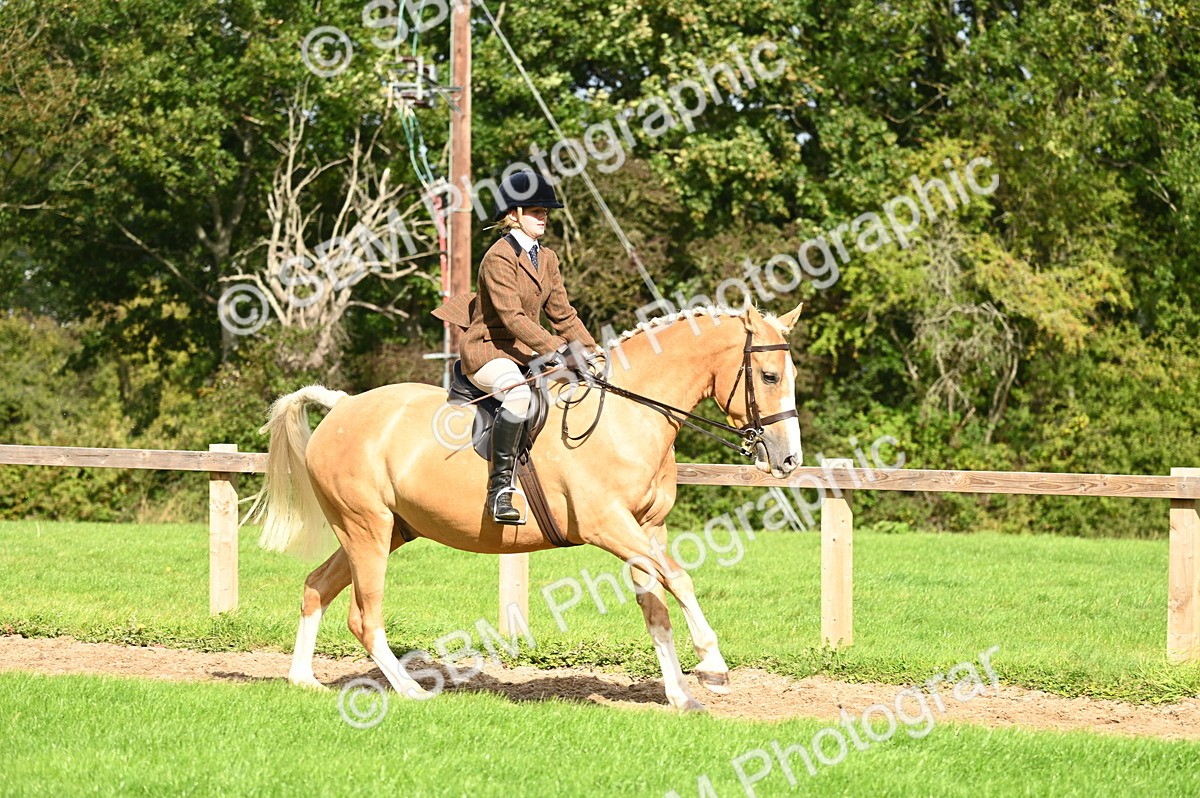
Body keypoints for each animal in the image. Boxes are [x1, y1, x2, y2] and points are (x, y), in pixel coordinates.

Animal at [251, 302, 803, 712]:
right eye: (769, 376)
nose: (788, 460)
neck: (628, 416)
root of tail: (342, 405)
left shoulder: (648, 529)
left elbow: (658, 606)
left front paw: (681, 695)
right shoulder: (608, 526)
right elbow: (680, 580)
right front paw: (713, 666)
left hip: (389, 530)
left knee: (316, 586)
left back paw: (303, 680)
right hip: (366, 529)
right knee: (364, 616)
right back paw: (410, 690)